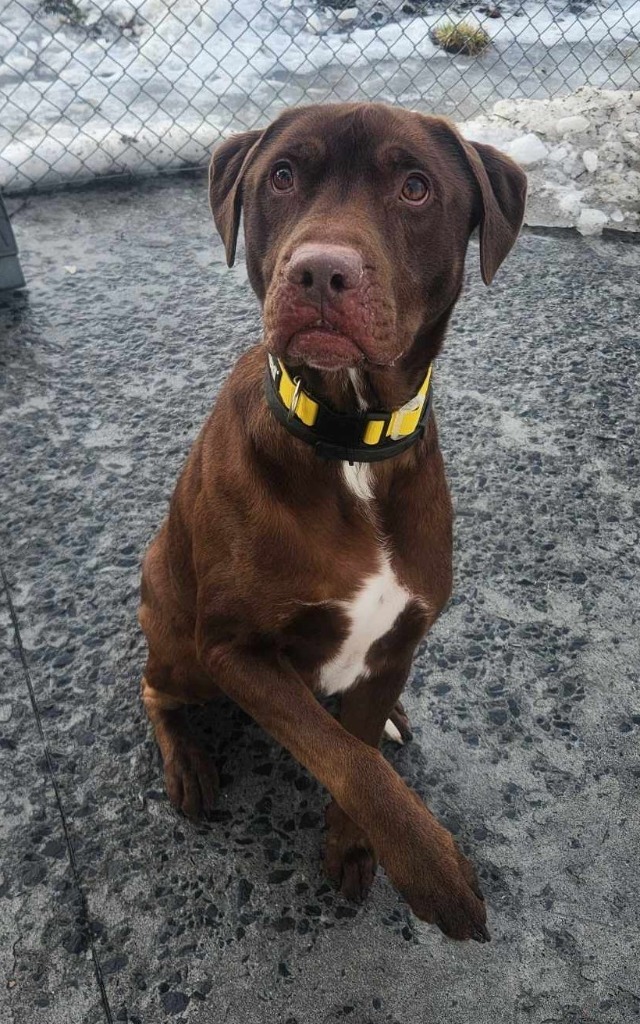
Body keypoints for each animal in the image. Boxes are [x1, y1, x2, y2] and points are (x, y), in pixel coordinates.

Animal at [138, 103, 524, 942]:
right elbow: (345, 757)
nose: (319, 271)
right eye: (282, 175)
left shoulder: (400, 637)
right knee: (154, 691)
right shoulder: (234, 651)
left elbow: (356, 742)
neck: (351, 442)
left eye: (415, 187)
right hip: (178, 645)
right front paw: (430, 864)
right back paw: (186, 763)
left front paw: (354, 844)